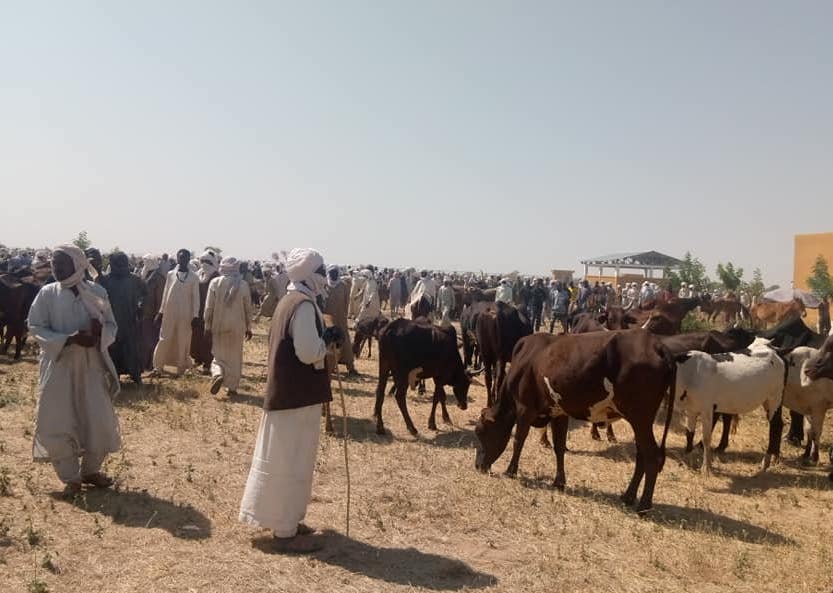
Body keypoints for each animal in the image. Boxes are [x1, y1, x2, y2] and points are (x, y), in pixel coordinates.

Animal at [474, 328, 676, 512]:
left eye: (480, 432)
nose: (478, 466)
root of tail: (656, 344)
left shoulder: (525, 409)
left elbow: (518, 441)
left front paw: (510, 471)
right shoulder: (559, 413)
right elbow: (559, 447)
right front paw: (559, 482)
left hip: (640, 419)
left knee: (652, 456)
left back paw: (644, 505)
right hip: (640, 422)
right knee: (642, 455)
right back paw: (628, 497)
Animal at [672, 340, 784, 474]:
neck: (689, 373)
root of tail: (776, 351)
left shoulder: (707, 410)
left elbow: (706, 438)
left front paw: (706, 467)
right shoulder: (691, 409)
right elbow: (689, 433)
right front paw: (687, 458)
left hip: (775, 399)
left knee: (775, 426)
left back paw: (766, 461)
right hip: (768, 401)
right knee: (779, 424)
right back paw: (775, 457)